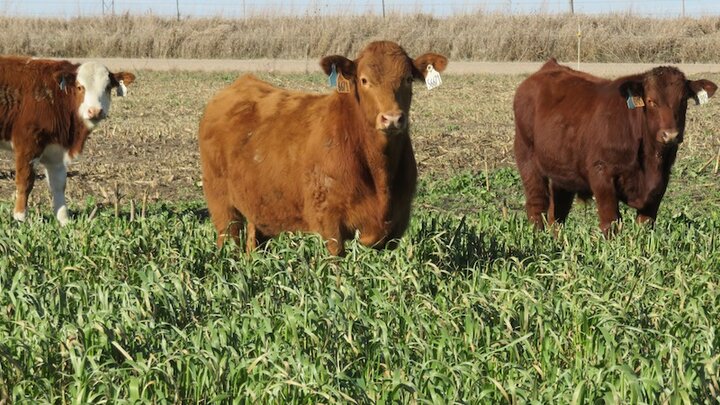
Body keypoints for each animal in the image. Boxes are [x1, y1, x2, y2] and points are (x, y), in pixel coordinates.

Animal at [0, 55, 135, 223]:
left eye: (108, 87)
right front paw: (20, 218)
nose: (95, 111)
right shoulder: (27, 144)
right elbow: (25, 181)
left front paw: (64, 220)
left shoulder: (56, 151)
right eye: (80, 87)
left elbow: (58, 184)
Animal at [197, 41, 444, 256]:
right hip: (222, 207)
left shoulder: (397, 223)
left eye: (408, 79)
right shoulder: (329, 219)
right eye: (364, 80)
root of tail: (240, 84)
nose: (392, 119)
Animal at [512, 60, 716, 237]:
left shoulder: (660, 182)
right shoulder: (602, 174)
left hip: (562, 172)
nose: (671, 135)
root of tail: (549, 67)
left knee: (558, 212)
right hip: (527, 157)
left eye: (683, 101)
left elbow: (645, 224)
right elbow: (611, 222)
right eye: (651, 101)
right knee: (537, 204)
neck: (650, 161)